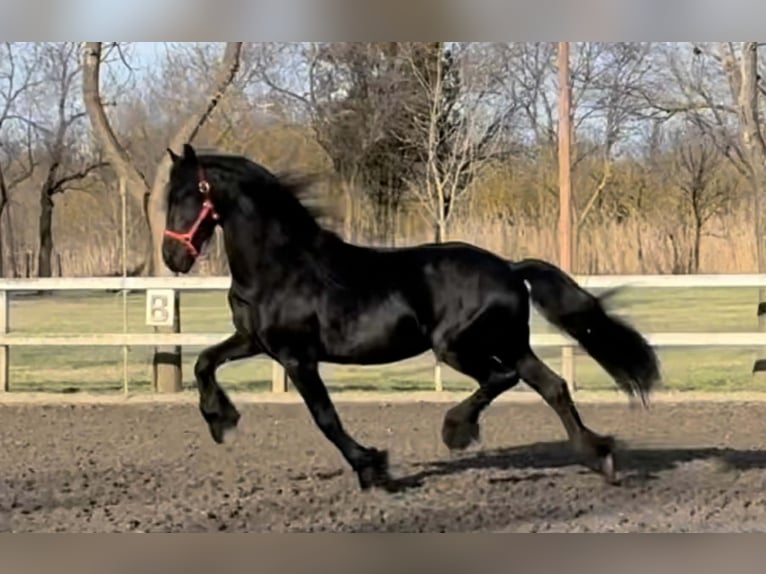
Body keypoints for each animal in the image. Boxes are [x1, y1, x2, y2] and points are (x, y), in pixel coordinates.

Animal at [161, 143, 661, 492]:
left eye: (190, 194)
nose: (172, 257)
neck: (281, 266)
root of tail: (509, 267)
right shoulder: (255, 341)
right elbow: (203, 361)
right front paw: (221, 420)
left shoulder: (297, 356)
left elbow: (326, 418)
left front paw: (375, 470)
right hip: (510, 344)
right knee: (551, 386)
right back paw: (601, 458)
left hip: (459, 346)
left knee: (503, 379)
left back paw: (457, 430)